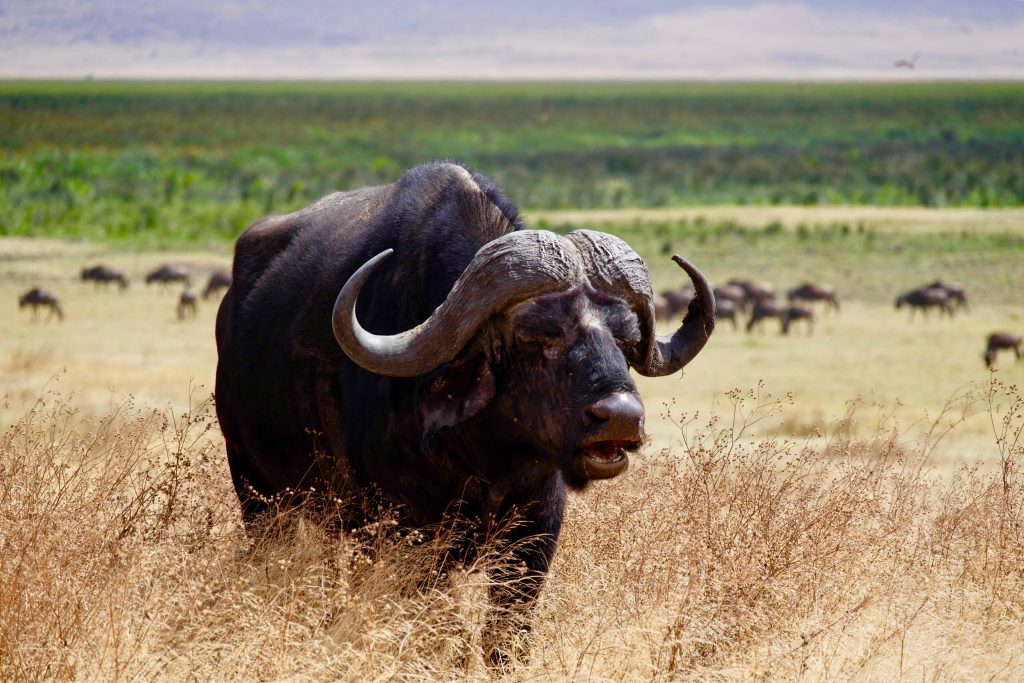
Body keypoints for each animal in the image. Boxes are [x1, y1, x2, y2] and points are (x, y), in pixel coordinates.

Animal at [215, 162, 715, 660]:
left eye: (626, 340)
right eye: (536, 336)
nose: (621, 417)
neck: (484, 456)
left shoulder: (536, 532)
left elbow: (507, 629)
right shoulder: (403, 532)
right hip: (258, 492)